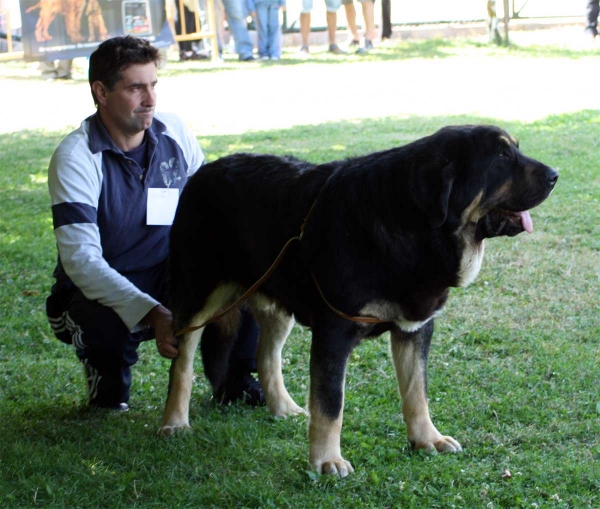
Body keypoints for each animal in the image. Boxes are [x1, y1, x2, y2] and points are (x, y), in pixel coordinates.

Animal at [159, 124, 556, 476]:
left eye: (515, 149)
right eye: (501, 157)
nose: (555, 175)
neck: (412, 226)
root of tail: (204, 170)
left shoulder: (415, 328)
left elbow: (417, 391)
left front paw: (426, 438)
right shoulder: (335, 330)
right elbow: (331, 404)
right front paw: (326, 460)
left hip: (277, 303)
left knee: (266, 355)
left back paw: (283, 407)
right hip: (200, 295)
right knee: (182, 363)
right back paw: (174, 422)